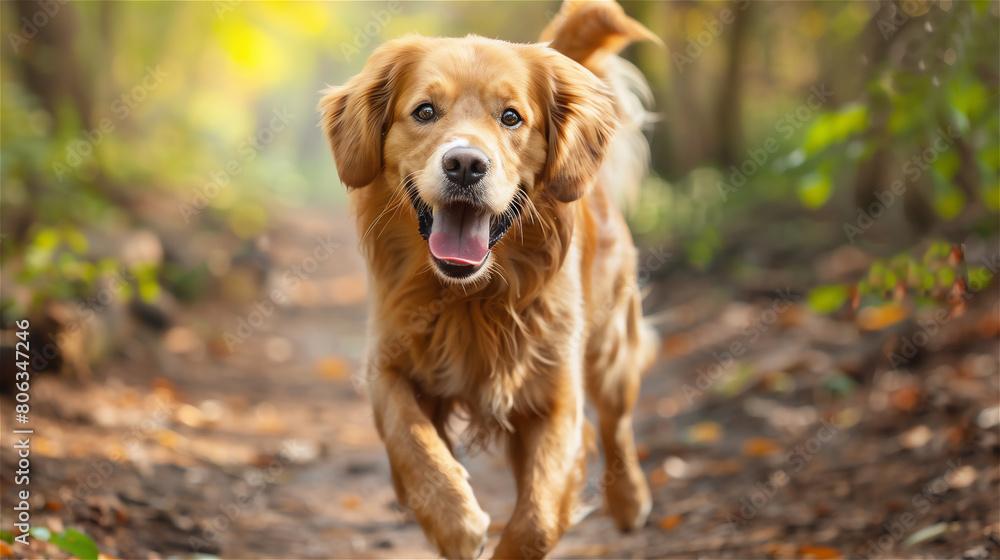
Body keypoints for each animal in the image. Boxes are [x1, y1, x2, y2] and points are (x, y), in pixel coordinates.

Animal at [322, 2, 664, 556]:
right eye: (425, 112)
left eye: (511, 117)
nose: (465, 164)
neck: (469, 298)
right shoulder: (387, 364)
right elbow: (412, 441)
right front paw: (455, 522)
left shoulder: (556, 395)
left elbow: (538, 516)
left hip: (612, 348)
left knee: (618, 424)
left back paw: (630, 500)